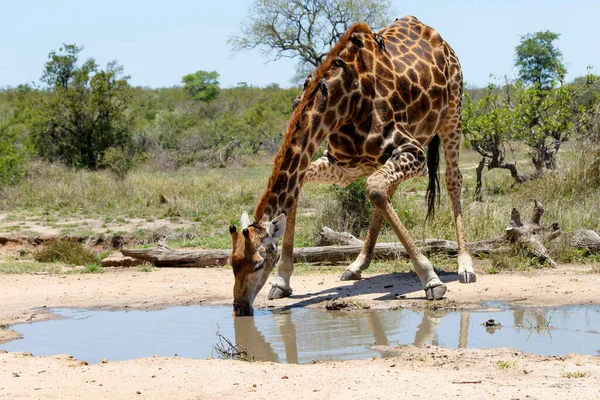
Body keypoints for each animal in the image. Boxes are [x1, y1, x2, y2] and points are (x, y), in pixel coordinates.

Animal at [227, 14, 476, 316]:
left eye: (259, 264)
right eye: (231, 262)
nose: (239, 307)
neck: (344, 102)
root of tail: (436, 36)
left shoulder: (414, 151)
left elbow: (376, 189)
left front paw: (431, 280)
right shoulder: (342, 165)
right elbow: (320, 190)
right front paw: (282, 281)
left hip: (453, 110)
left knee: (452, 178)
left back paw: (465, 267)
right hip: (383, 157)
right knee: (386, 191)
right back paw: (357, 266)